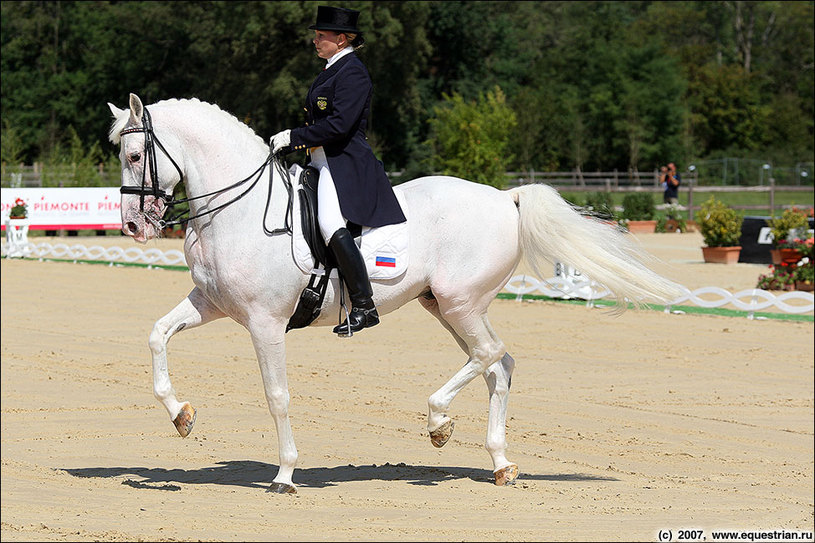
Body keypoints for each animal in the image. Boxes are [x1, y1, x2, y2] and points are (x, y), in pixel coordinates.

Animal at [107, 94, 684, 498]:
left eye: (135, 154)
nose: (134, 225)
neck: (240, 211)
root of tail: (506, 197)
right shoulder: (213, 304)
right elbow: (157, 335)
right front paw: (180, 415)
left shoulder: (265, 322)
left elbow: (277, 396)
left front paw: (285, 474)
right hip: (447, 306)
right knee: (498, 364)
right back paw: (499, 463)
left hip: (459, 301)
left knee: (490, 355)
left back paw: (439, 422)